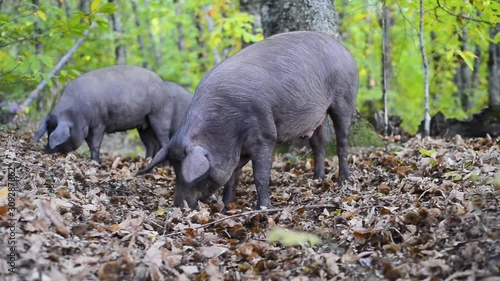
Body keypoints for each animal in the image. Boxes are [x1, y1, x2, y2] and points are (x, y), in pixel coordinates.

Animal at [33, 65, 192, 162]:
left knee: (163, 141)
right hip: (143, 124)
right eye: (48, 131)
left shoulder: (99, 122)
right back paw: (146, 161)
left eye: (53, 134)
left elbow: (96, 143)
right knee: (151, 144)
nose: (45, 151)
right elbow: (90, 144)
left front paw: (96, 162)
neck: (76, 113)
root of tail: (165, 86)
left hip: (159, 115)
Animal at [138, 31, 360, 209]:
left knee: (342, 141)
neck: (224, 128)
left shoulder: (264, 136)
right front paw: (226, 206)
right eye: (174, 170)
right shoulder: (239, 149)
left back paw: (343, 178)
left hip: (344, 99)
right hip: (316, 118)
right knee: (319, 144)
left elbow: (260, 176)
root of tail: (346, 51)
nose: (178, 206)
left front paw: (264, 208)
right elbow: (233, 176)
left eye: (190, 174)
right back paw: (317, 179)